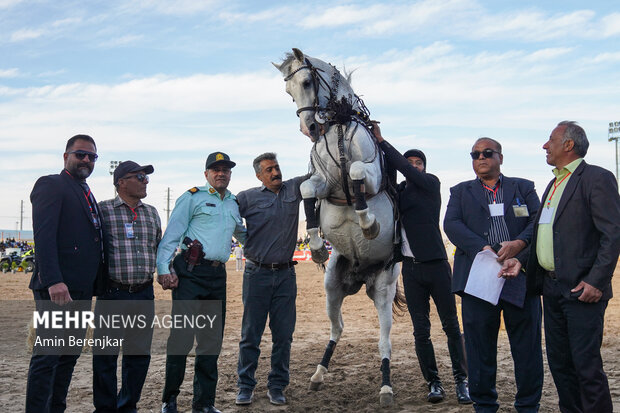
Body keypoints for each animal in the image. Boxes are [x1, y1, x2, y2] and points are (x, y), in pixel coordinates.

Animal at [274, 48, 402, 406]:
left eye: (306, 82)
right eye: (288, 92)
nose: (309, 129)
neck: (341, 128)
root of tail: (360, 277)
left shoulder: (370, 174)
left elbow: (357, 173)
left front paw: (368, 223)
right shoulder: (322, 183)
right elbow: (306, 189)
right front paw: (317, 247)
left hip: (384, 289)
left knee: (384, 341)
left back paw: (386, 388)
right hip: (332, 286)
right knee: (338, 327)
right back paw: (318, 373)